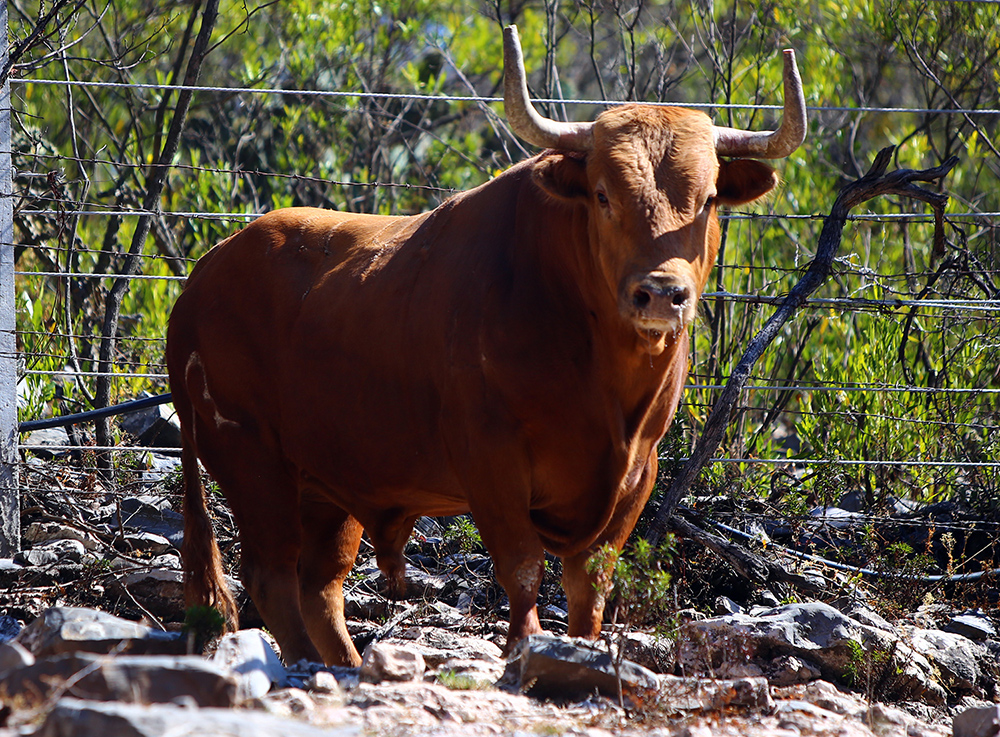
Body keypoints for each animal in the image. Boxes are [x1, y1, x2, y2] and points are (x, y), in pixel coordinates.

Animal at [166, 25, 805, 667]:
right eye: (603, 196)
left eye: (708, 199)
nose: (662, 294)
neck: (601, 371)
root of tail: (205, 273)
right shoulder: (490, 459)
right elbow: (522, 569)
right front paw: (524, 650)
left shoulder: (636, 474)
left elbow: (590, 584)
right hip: (253, 462)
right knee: (271, 578)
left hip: (328, 483)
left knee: (318, 586)